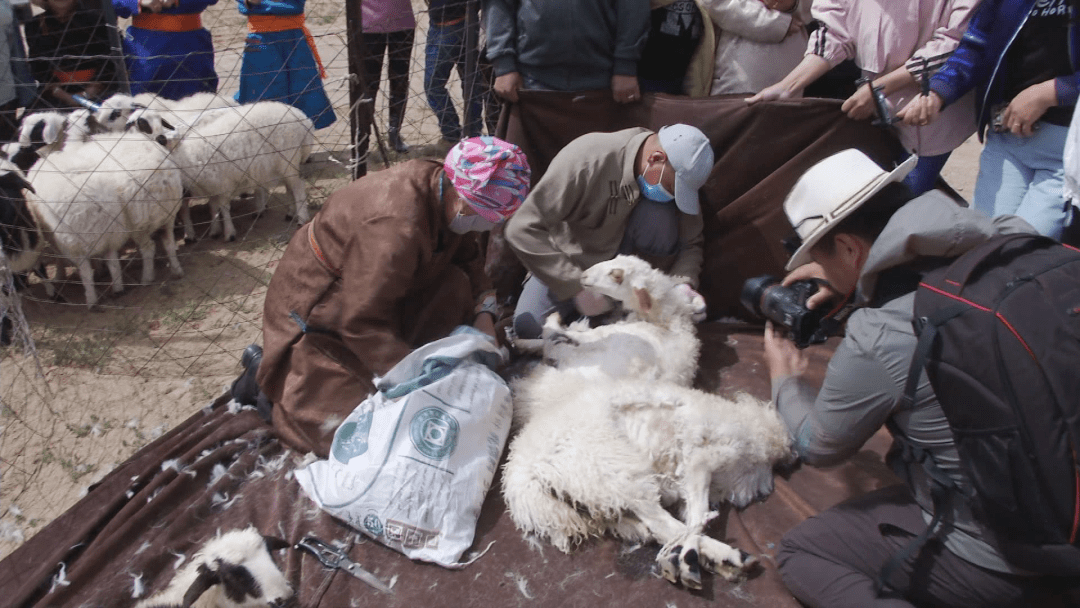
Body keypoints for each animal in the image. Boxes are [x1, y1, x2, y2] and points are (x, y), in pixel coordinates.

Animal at [24, 117, 183, 308]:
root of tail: (162, 178)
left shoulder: (61, 239)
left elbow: (60, 259)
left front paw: (60, 277)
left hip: (136, 223)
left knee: (146, 249)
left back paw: (142, 280)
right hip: (166, 215)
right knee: (168, 243)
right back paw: (175, 269)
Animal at [503, 255, 794, 591]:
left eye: (617, 275)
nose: (583, 276)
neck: (667, 324)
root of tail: (525, 471)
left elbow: (557, 340)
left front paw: (540, 332)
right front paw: (527, 339)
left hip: (615, 473)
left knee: (663, 523)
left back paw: (710, 558)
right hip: (604, 489)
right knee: (651, 524)